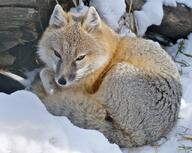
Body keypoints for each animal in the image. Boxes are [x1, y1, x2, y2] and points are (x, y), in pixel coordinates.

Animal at [32, 4, 182, 146]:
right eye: (57, 54)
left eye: (80, 58)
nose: (62, 81)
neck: (106, 58)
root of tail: (137, 138)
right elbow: (44, 72)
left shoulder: (83, 87)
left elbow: (45, 74)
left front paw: (51, 87)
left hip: (116, 73)